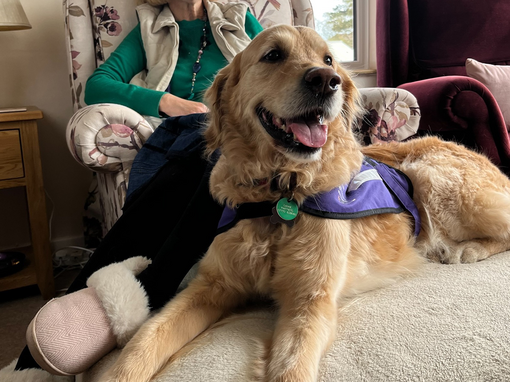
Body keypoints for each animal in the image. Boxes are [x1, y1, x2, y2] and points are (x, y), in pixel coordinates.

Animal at [99, 25, 510, 380]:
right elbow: (146, 338)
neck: (279, 195)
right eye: (273, 55)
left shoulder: (310, 301)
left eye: (328, 59)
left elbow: (291, 369)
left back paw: (466, 250)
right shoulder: (212, 285)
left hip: (435, 181)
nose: (326, 80)